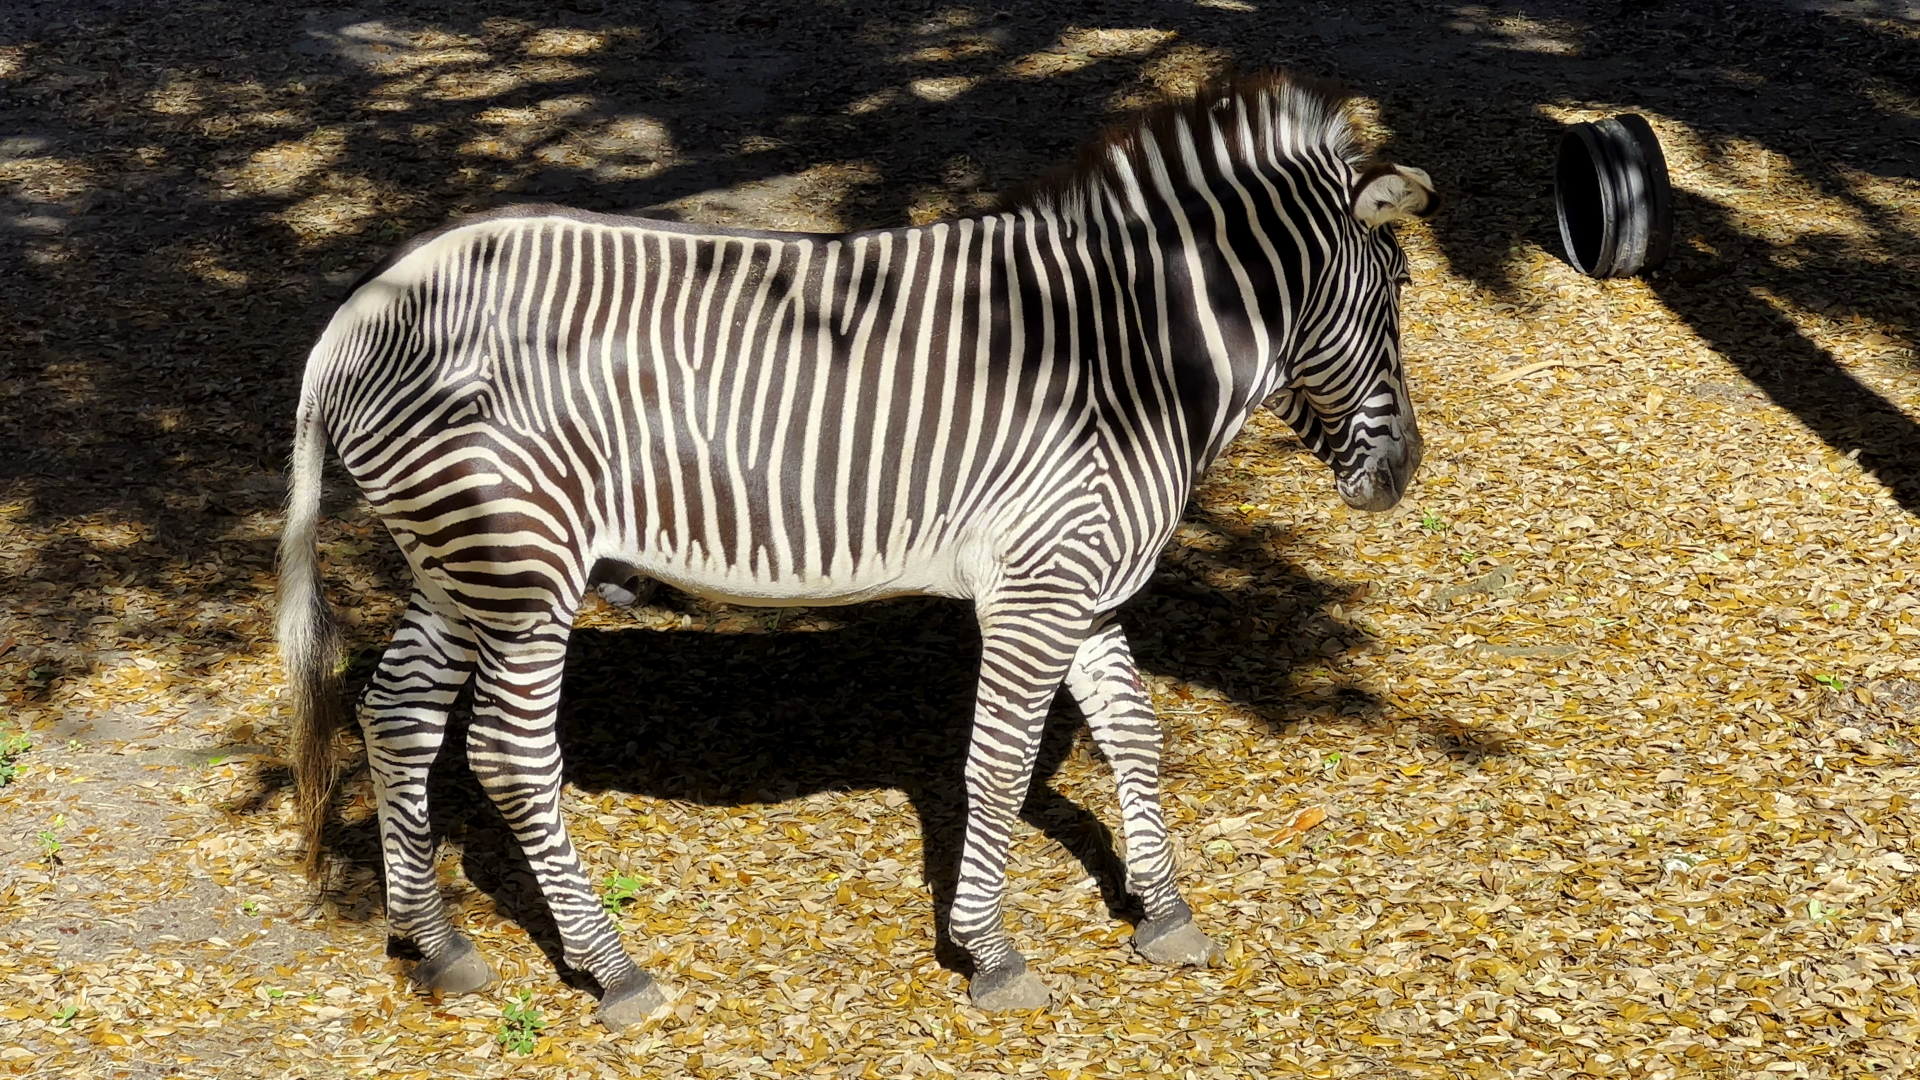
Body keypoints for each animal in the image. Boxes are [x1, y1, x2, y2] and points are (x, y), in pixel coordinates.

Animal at [277, 71, 1436, 1028]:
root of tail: (359, 310)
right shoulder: (1036, 587)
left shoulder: (1089, 583)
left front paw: (1163, 910)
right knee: (510, 759)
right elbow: (1001, 763)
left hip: (454, 564)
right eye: (1397, 298)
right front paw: (990, 950)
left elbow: (1134, 736)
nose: (1406, 474)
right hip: (519, 567)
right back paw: (613, 969)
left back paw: (436, 944)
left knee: (397, 714)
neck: (1131, 359)